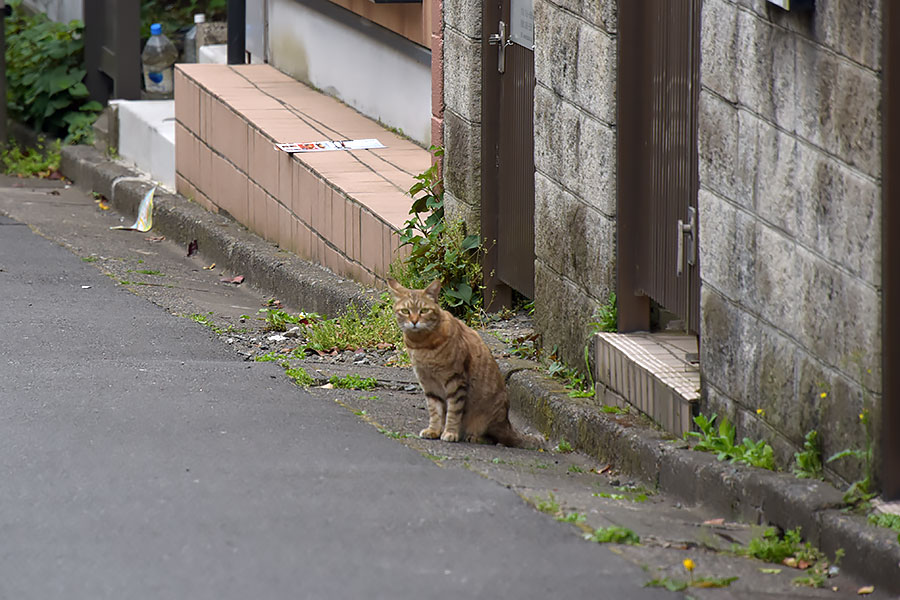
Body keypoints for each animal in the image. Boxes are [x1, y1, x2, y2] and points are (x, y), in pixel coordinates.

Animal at [384, 280, 536, 446]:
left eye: (424, 310)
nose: (414, 321)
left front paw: (450, 432)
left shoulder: (455, 381)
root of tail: (507, 423)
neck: (421, 345)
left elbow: (453, 411)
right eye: (405, 311)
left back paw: (474, 437)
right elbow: (435, 411)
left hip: (487, 419)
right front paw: (434, 430)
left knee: (494, 438)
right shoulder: (428, 383)